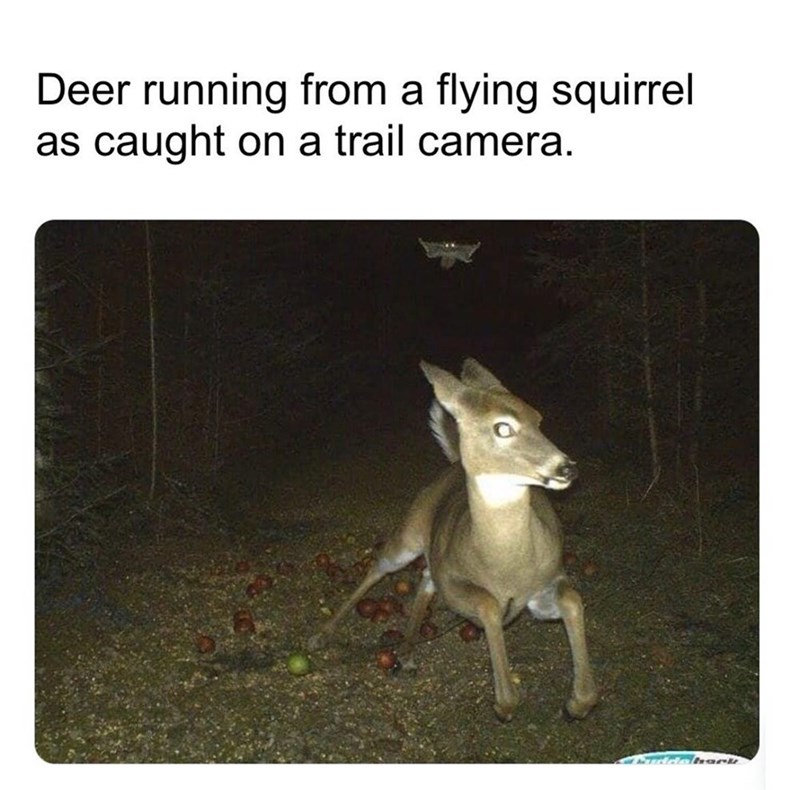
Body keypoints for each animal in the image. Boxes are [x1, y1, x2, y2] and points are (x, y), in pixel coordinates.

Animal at [308, 359, 598, 723]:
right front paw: (504, 703)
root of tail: (454, 464)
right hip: (411, 531)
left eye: (538, 418)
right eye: (503, 428)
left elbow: (572, 599)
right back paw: (321, 635)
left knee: (424, 577)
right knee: (380, 566)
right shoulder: (454, 584)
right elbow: (488, 605)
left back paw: (407, 651)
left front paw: (577, 703)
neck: (505, 566)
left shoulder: (546, 581)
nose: (567, 468)